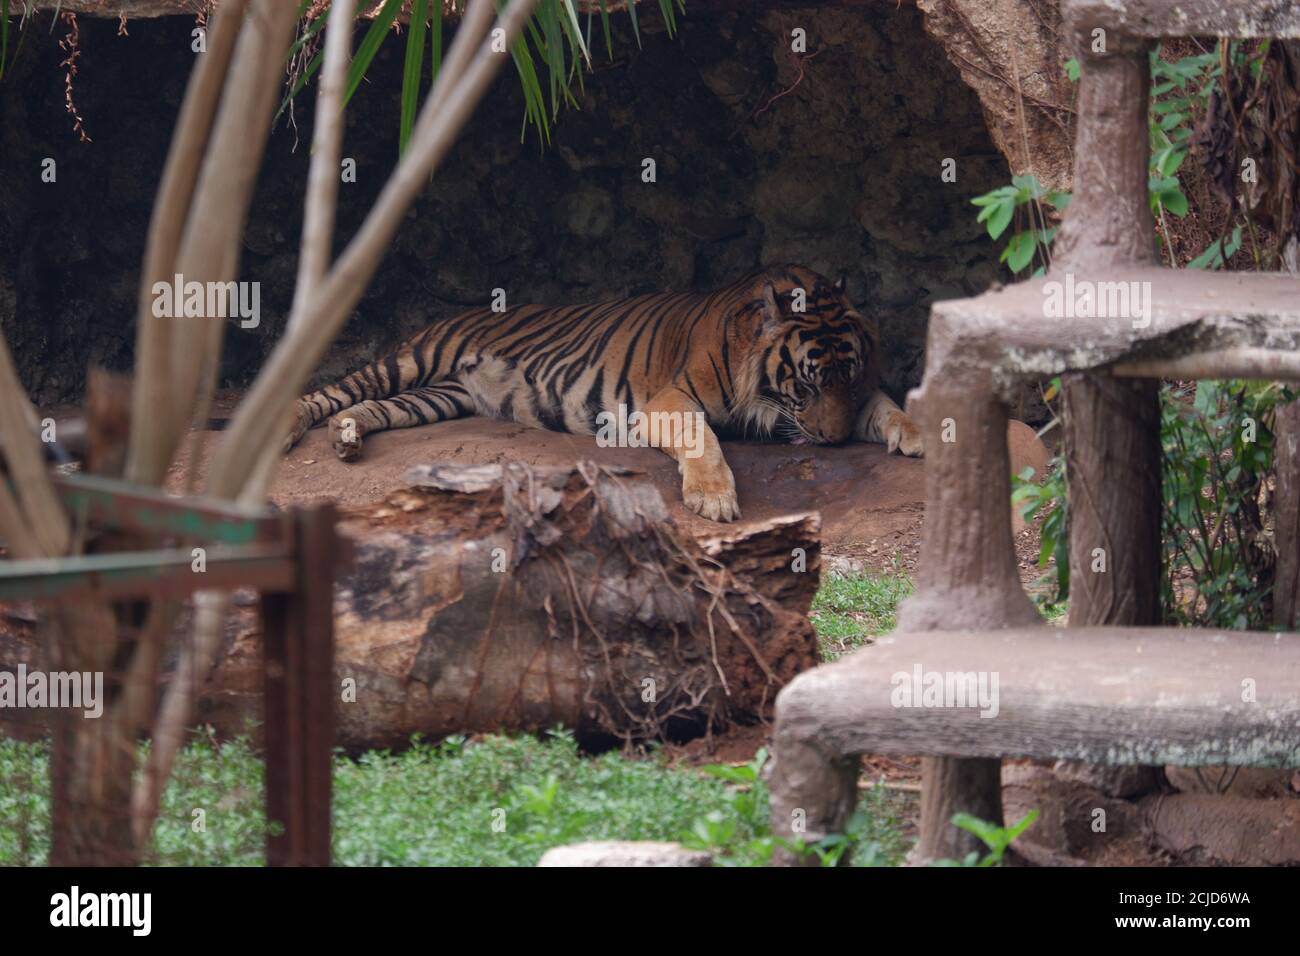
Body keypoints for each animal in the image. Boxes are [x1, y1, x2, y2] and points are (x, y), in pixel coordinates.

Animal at [284, 265, 925, 522]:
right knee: (337, 389)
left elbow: (886, 407)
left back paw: (347, 439)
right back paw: (294, 424)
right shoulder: (670, 399)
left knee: (371, 407)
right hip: (411, 361)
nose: (834, 443)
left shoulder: (859, 395)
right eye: (807, 381)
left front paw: (918, 435)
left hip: (440, 395)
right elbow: (704, 441)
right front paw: (714, 500)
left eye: (846, 377)